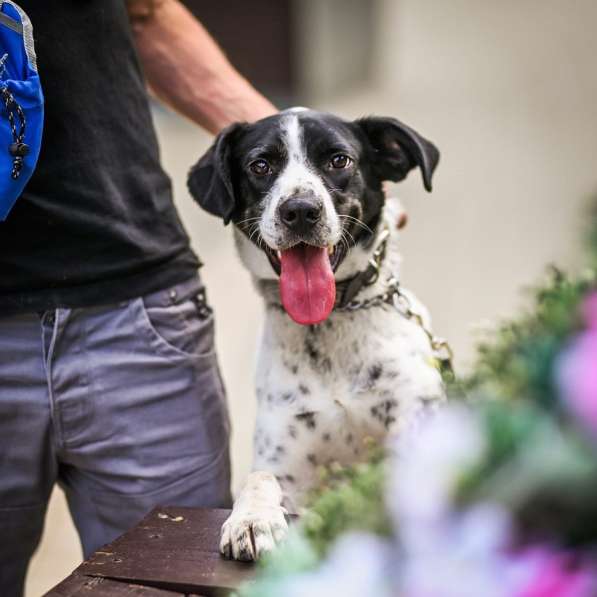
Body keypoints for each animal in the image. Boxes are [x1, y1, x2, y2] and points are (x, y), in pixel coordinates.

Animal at [189, 107, 444, 560]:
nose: (301, 210)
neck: (330, 323)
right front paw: (252, 520)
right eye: (260, 165)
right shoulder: (285, 464)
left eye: (339, 160)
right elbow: (260, 479)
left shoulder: (414, 418)